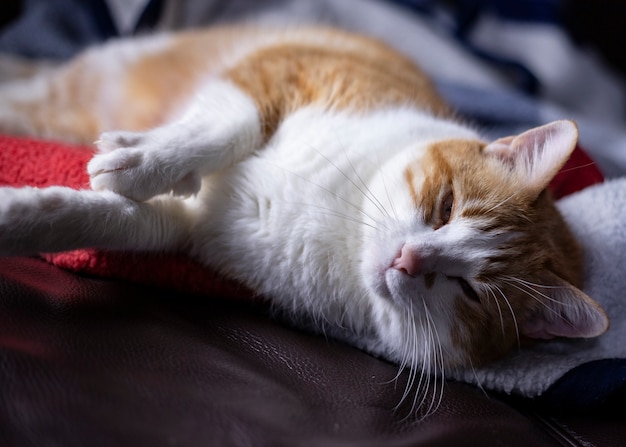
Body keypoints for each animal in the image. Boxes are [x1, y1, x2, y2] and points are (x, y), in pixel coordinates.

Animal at [0, 25, 608, 400]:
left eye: (470, 293)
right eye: (446, 207)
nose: (408, 259)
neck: (344, 224)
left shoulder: (186, 227)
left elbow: (98, 217)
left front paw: (21, 214)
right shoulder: (291, 70)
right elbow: (224, 128)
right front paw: (146, 160)